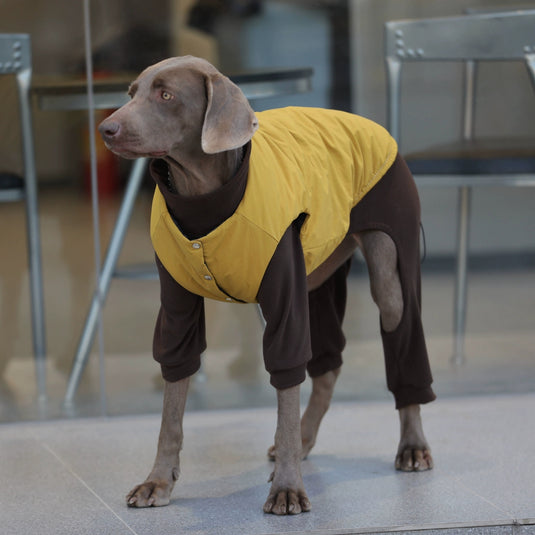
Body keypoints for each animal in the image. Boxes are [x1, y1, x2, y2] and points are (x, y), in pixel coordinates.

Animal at [99, 54, 436, 516]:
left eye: (166, 95)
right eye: (132, 92)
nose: (106, 128)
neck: (202, 196)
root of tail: (371, 125)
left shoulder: (284, 298)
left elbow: (286, 381)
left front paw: (287, 488)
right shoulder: (177, 303)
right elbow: (172, 402)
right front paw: (158, 481)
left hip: (390, 267)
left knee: (399, 327)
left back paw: (412, 445)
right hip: (316, 276)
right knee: (328, 366)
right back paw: (307, 436)